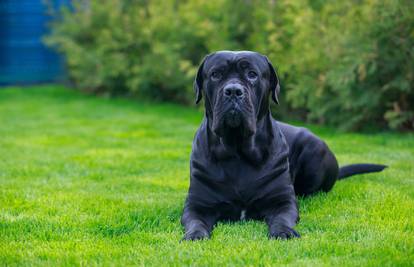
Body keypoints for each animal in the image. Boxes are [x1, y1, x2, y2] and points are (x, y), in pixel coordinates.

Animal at [181, 51, 384, 242]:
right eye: (215, 74)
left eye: (252, 74)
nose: (233, 91)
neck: (238, 151)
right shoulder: (197, 205)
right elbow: (195, 222)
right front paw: (195, 235)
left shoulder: (282, 201)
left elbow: (282, 218)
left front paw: (283, 232)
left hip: (314, 149)